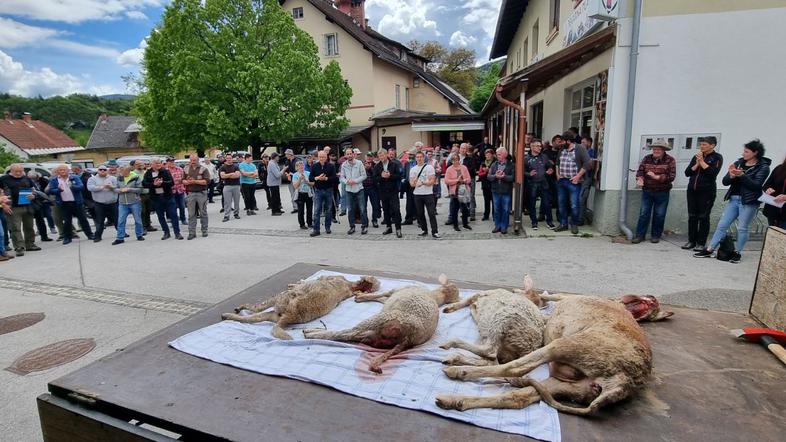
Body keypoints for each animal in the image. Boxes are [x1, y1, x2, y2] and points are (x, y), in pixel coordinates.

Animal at [220, 274, 380, 340]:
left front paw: (296, 283)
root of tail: (289, 315)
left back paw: (235, 310)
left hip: (276, 299)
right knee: (249, 318)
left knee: (254, 308)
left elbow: (303, 282)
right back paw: (228, 315)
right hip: (272, 314)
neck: (349, 286)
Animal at [302, 276, 460, 372]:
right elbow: (381, 298)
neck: (436, 297)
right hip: (375, 332)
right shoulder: (392, 299)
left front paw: (360, 297)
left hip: (378, 320)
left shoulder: (395, 291)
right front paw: (362, 296)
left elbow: (380, 295)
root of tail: (407, 338)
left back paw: (311, 332)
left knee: (344, 334)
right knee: (354, 335)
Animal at [434, 294, 648, 414]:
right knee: (518, 395)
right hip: (572, 385)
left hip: (565, 346)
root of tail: (626, 381)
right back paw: (454, 399)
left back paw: (458, 366)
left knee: (512, 366)